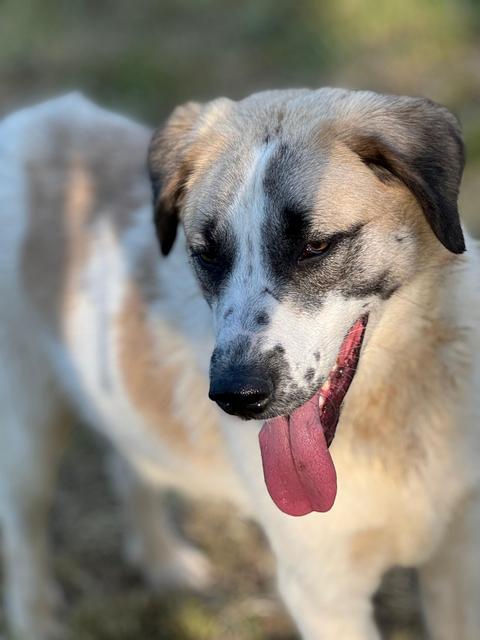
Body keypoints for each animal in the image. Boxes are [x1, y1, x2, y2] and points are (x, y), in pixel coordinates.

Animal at [0, 88, 479, 639]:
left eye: (315, 246)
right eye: (206, 254)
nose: (236, 396)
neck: (399, 409)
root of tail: (33, 115)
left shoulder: (458, 559)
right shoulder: (324, 592)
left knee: (127, 465)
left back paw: (164, 561)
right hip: (27, 431)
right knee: (23, 534)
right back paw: (38, 620)